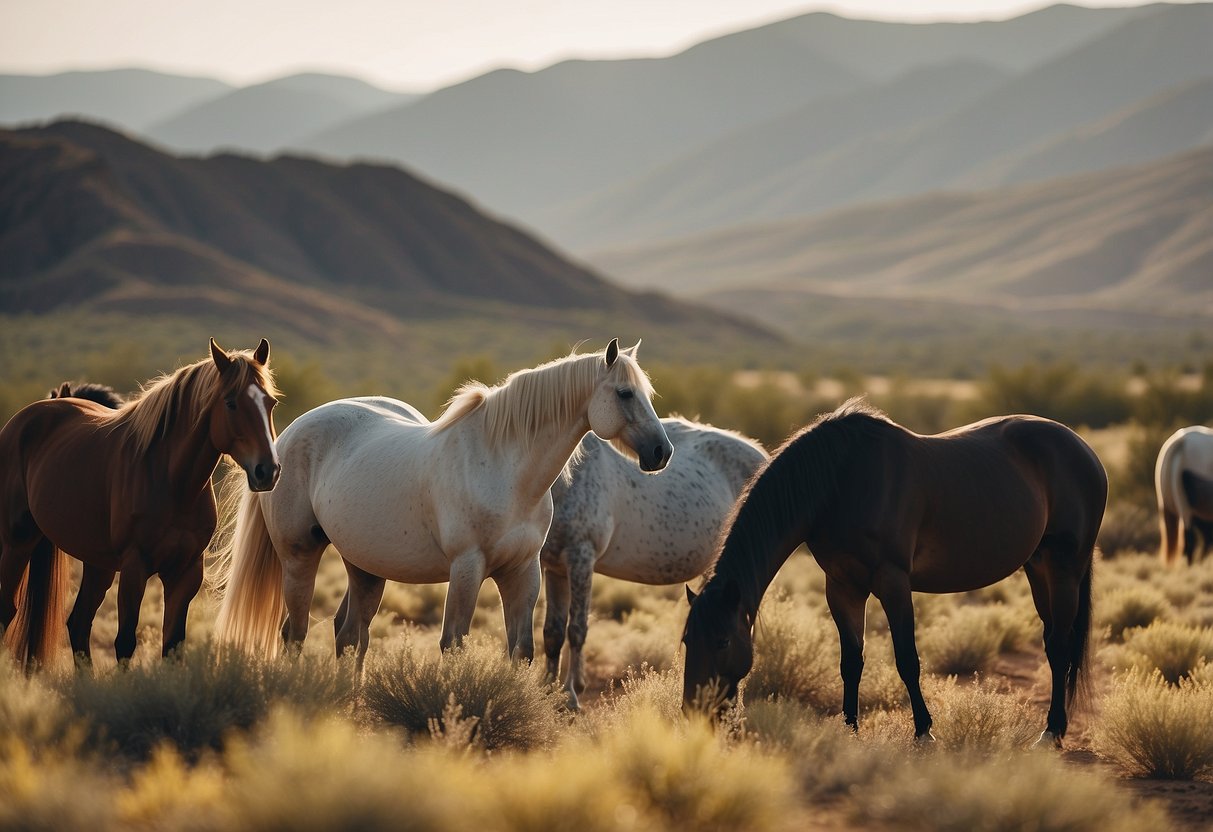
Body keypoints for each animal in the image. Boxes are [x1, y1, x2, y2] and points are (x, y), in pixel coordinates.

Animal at [1, 339, 278, 669]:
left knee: (78, 623)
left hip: (97, 564)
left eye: (270, 403)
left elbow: (173, 645)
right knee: (7, 611)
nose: (268, 470)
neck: (171, 481)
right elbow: (125, 643)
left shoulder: (186, 572)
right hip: (17, 542)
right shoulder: (135, 567)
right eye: (231, 403)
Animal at [218, 339, 674, 669]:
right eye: (624, 393)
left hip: (365, 565)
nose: (661, 452)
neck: (504, 469)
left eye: (647, 393)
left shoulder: (523, 571)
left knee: (350, 635)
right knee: (294, 633)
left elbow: (521, 649)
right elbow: (453, 643)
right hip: (299, 556)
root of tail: (287, 436)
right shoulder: (467, 567)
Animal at [543, 419, 766, 708]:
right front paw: (546, 692)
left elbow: (577, 629)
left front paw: (572, 694)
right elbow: (553, 633)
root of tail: (760, 455)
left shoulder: (581, 558)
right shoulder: (554, 567)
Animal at [684, 397, 1111, 751]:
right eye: (687, 639)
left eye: (722, 641)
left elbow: (907, 658)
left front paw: (924, 732)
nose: (694, 711)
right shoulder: (842, 587)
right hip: (1037, 567)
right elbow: (851, 662)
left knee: (1059, 647)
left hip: (1065, 567)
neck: (839, 482)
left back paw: (1052, 732)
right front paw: (850, 729)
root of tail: (1081, 448)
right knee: (1052, 640)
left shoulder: (892, 582)